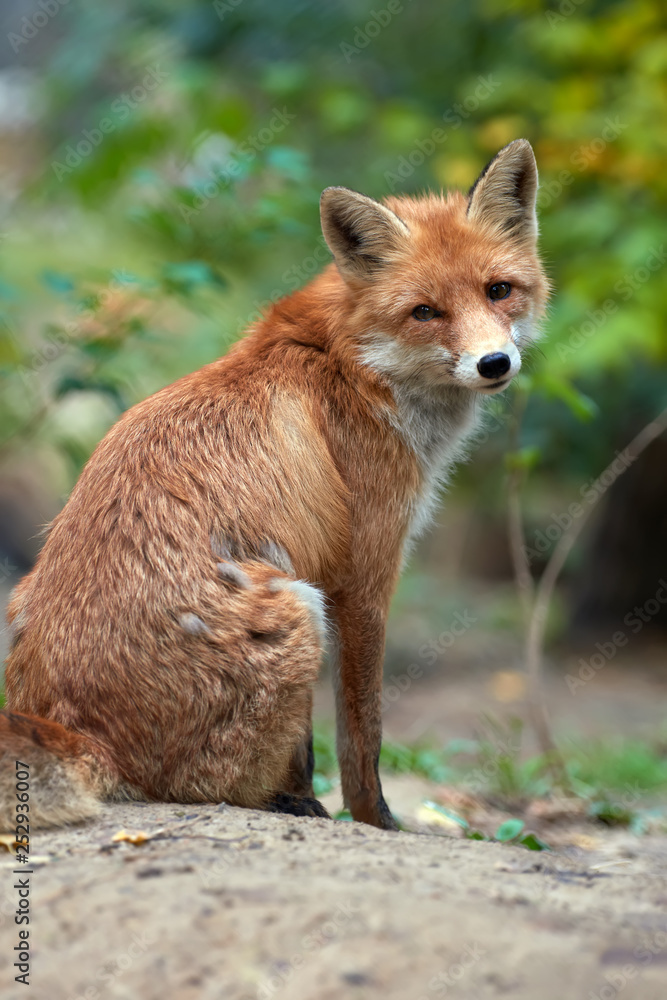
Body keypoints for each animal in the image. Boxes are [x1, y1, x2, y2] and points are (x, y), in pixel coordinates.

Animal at [1, 141, 548, 828]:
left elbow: (310, 742)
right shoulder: (362, 574)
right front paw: (372, 820)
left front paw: (308, 801)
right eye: (426, 312)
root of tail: (80, 730)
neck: (351, 364)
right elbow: (360, 733)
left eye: (499, 291)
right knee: (211, 787)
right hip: (298, 610)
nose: (494, 364)